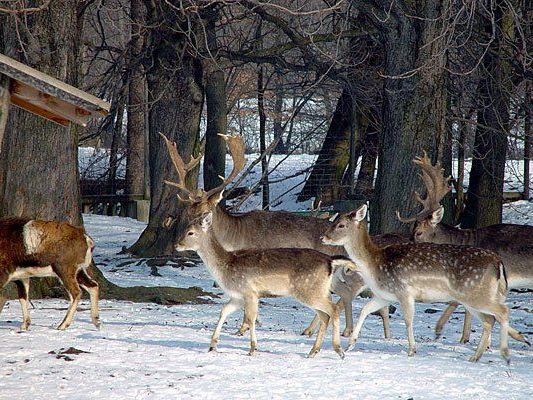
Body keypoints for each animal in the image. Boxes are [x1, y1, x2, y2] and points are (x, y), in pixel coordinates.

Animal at [158, 134, 400, 338]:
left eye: (206, 212)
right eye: (189, 212)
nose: (181, 234)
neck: (234, 236)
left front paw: (245, 327)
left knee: (341, 294)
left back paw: (323, 330)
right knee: (344, 294)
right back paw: (337, 330)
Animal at [324, 205, 528, 364]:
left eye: (341, 225)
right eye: (334, 221)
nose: (324, 238)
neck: (375, 265)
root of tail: (498, 263)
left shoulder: (404, 291)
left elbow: (408, 320)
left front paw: (412, 350)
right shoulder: (385, 295)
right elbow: (365, 310)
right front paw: (350, 344)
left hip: (476, 294)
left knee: (502, 312)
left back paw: (505, 353)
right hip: (475, 297)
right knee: (489, 320)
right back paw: (476, 356)